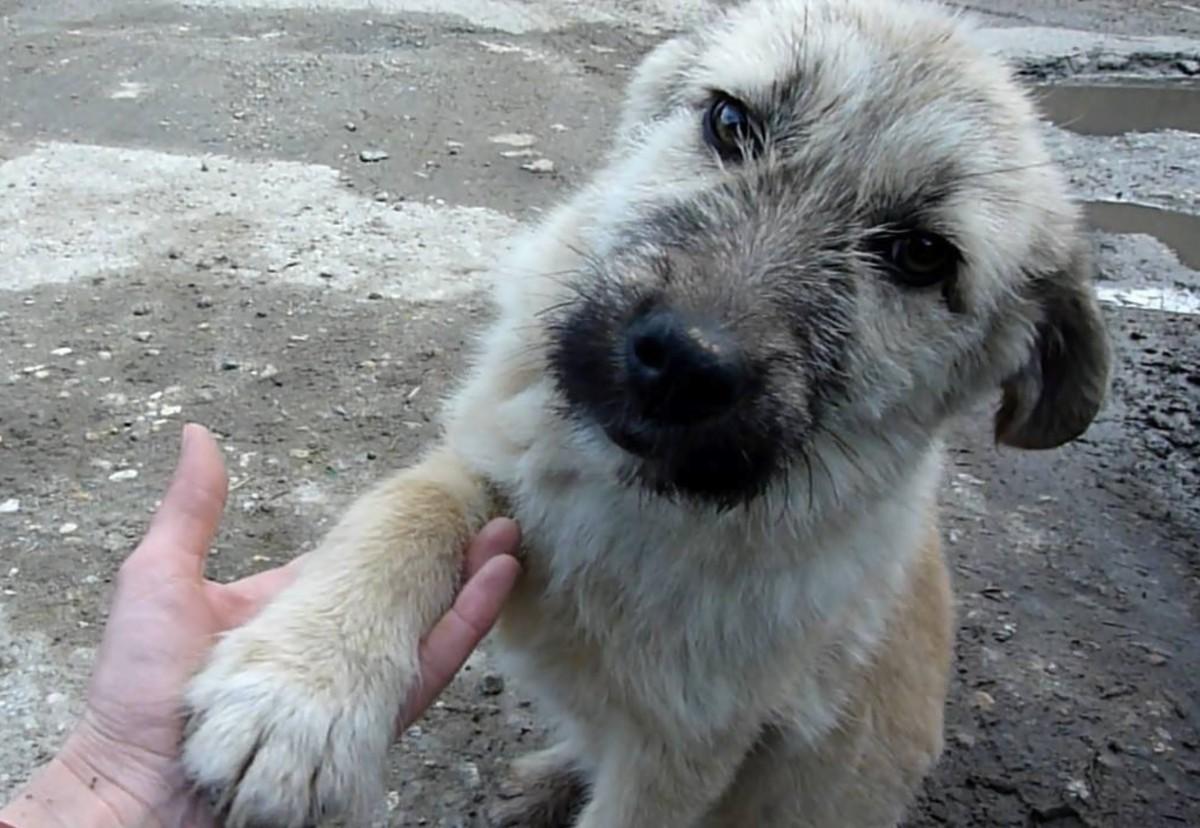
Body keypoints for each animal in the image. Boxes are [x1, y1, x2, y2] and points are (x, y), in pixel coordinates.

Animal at [182, 1, 1108, 825]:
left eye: (921, 256)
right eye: (731, 121)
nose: (684, 364)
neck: (634, 504)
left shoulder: (685, 752)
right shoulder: (495, 461)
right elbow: (405, 509)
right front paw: (300, 693)